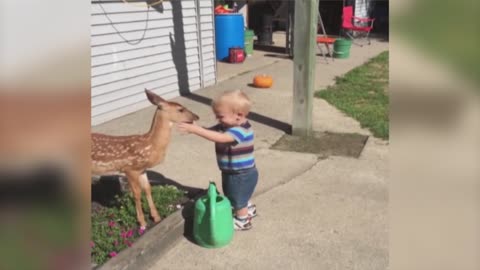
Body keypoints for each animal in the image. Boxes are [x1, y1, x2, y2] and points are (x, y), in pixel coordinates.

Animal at [92, 89, 199, 229]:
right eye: (180, 109)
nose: (196, 117)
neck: (150, 145)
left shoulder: (142, 169)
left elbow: (148, 189)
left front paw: (156, 217)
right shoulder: (129, 169)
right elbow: (137, 194)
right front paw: (142, 222)